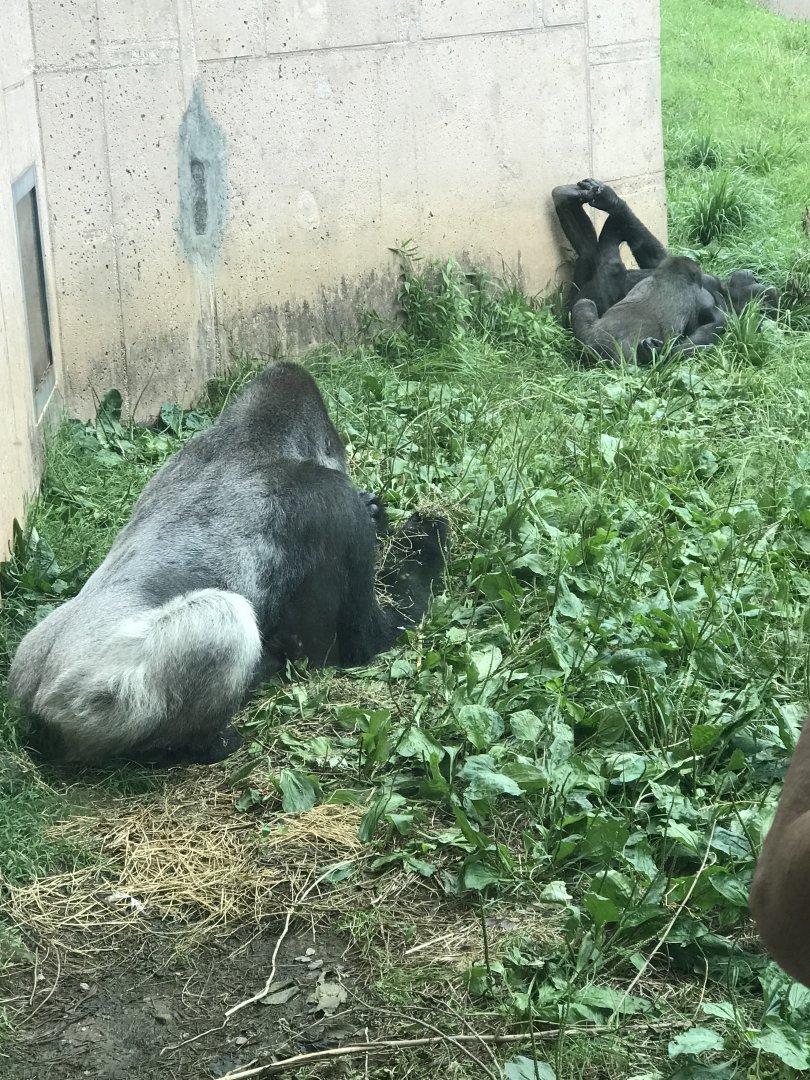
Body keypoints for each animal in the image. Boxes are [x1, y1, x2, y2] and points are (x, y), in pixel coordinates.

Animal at [7, 362, 449, 768]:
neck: (250, 438)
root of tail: (37, 703)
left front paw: (380, 514)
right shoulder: (330, 504)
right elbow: (365, 640)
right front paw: (427, 541)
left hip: (29, 655)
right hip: (91, 700)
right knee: (223, 620)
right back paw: (197, 744)